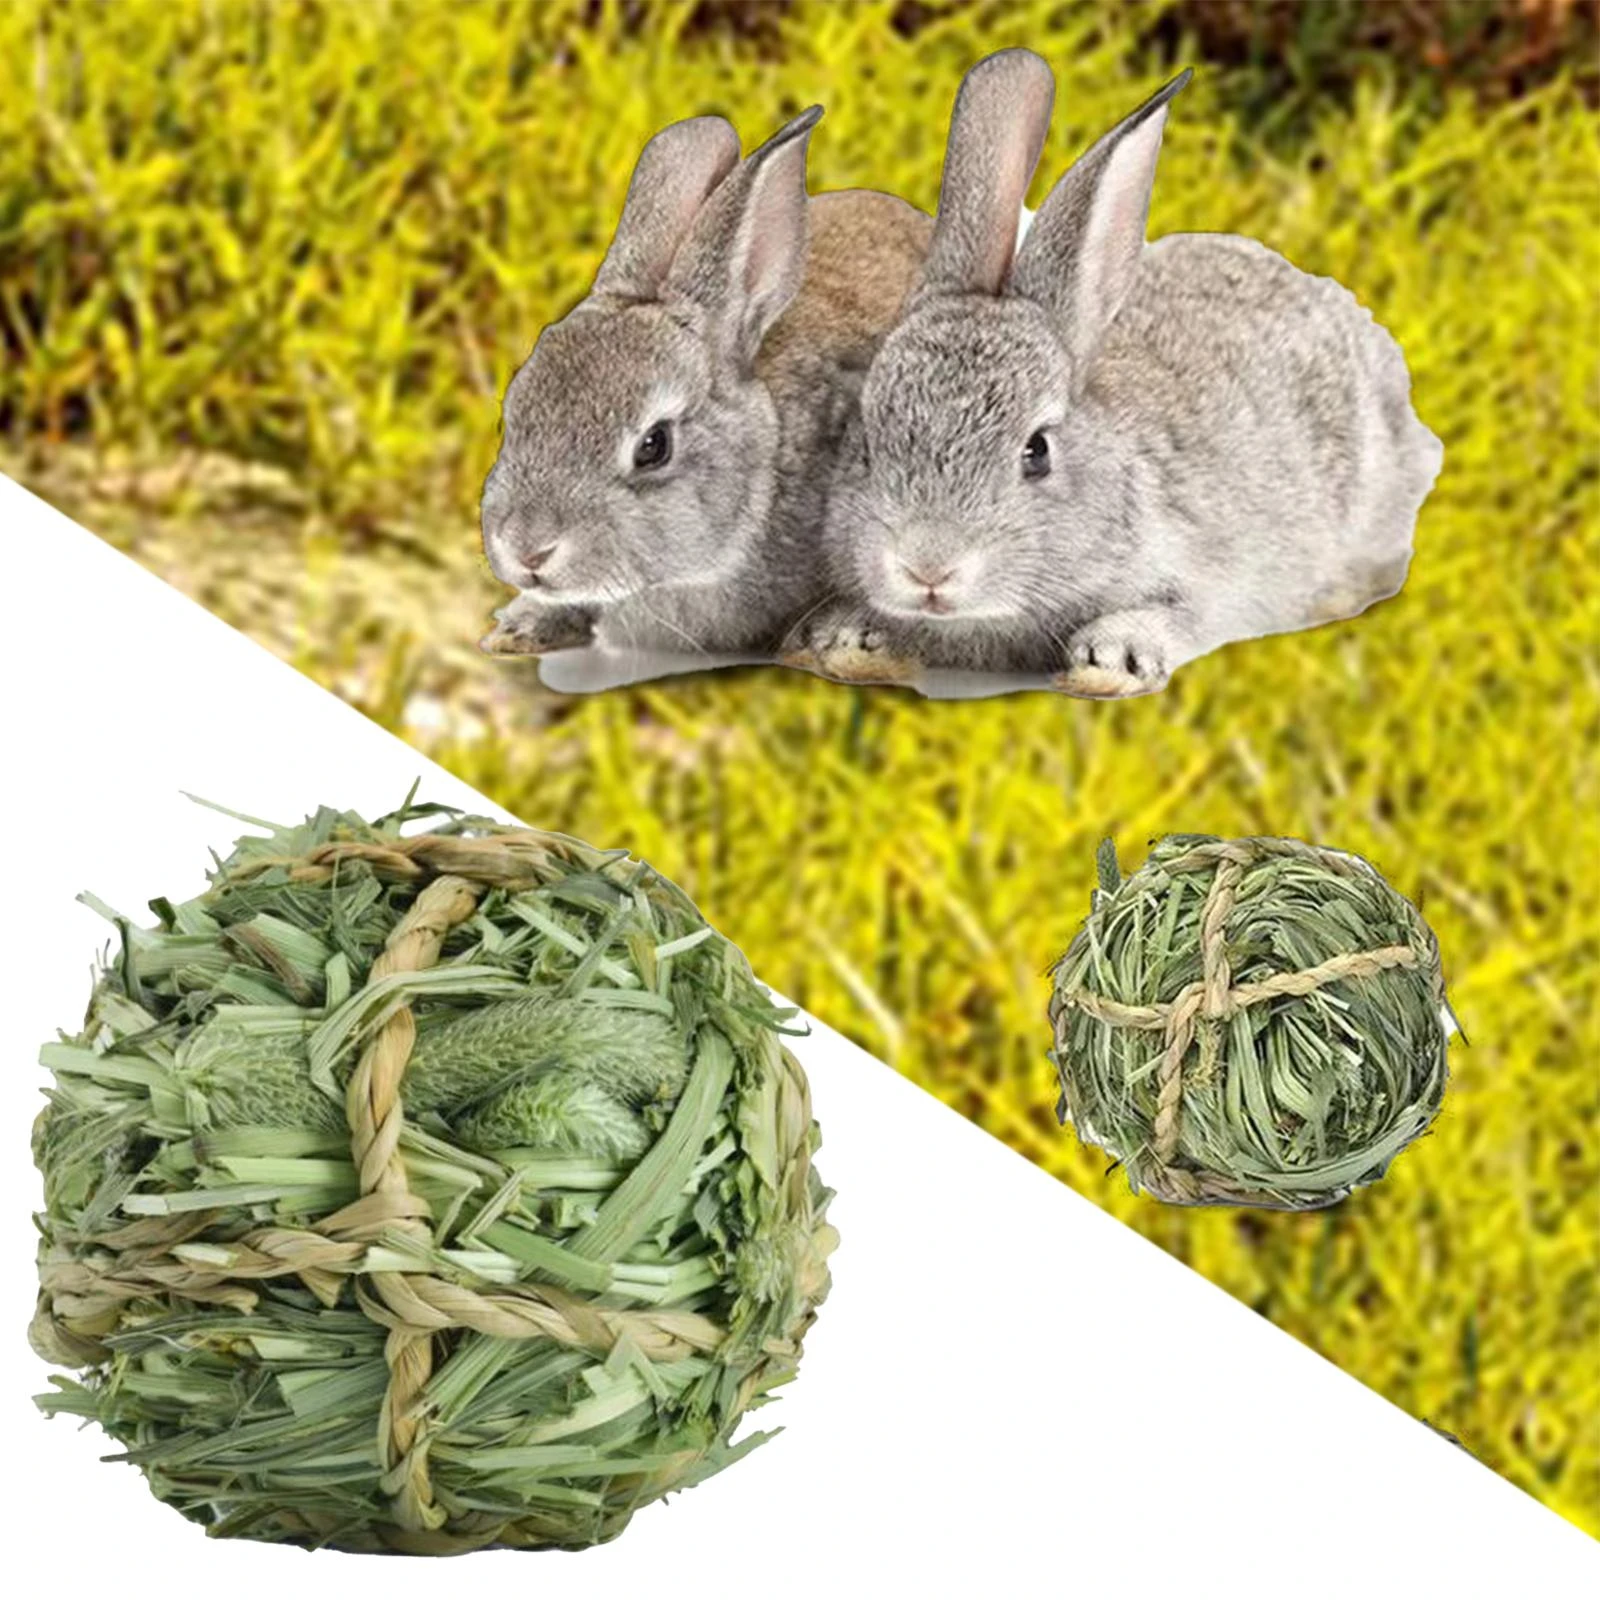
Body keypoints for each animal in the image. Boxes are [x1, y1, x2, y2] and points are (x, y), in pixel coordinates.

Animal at [783, 49, 1444, 698]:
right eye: (867, 443)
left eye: (1037, 452)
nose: (927, 568)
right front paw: (845, 636)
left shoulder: (1210, 579)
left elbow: (1180, 616)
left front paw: (1110, 659)